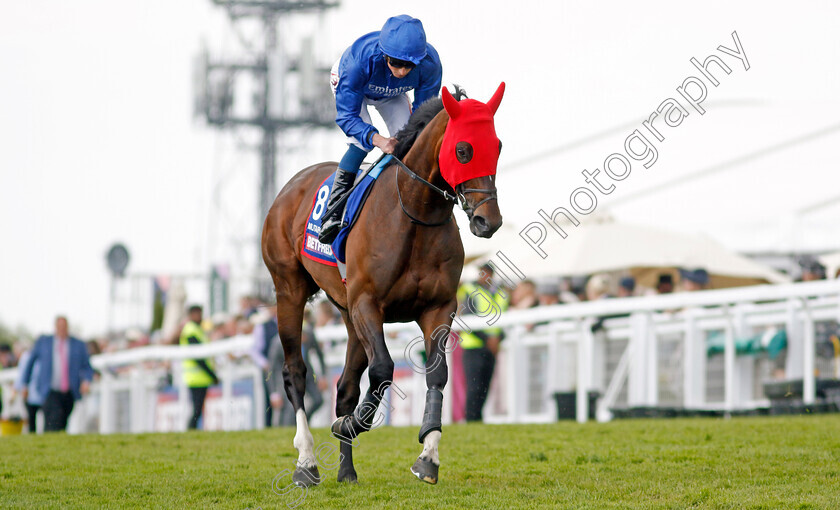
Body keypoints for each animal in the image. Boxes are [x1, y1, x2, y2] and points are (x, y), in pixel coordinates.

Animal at [260, 82, 506, 486]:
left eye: (497, 146)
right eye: (463, 150)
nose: (490, 221)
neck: (415, 215)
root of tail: (291, 185)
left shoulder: (438, 307)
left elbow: (437, 372)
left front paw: (428, 456)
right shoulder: (367, 303)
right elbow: (383, 371)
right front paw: (350, 425)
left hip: (346, 314)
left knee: (344, 387)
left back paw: (346, 470)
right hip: (289, 290)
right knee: (294, 372)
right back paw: (306, 462)